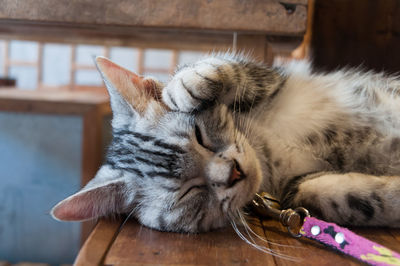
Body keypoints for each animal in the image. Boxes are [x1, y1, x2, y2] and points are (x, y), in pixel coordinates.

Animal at [51, 53, 400, 233]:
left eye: (200, 135)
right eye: (190, 192)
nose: (233, 173)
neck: (266, 151)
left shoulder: (270, 79)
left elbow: (230, 67)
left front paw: (186, 84)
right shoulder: (298, 186)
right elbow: (338, 196)